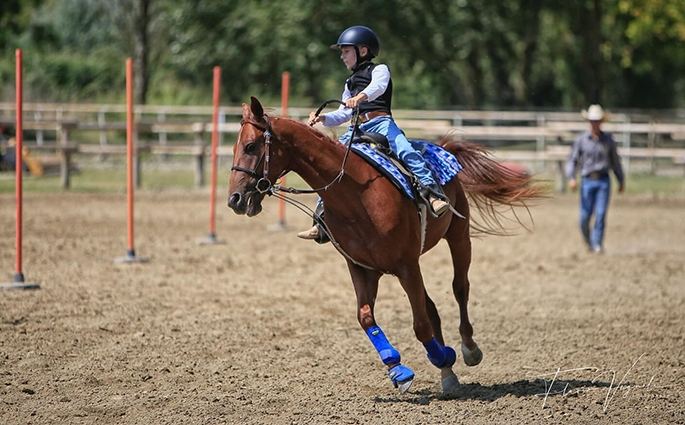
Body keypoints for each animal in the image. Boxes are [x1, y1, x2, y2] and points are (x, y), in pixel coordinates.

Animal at [228, 97, 543, 395]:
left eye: (252, 146)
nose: (234, 199)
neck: (356, 196)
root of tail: (442, 147)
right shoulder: (362, 268)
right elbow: (367, 317)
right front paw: (399, 369)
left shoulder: (406, 265)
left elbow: (420, 325)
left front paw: (442, 356)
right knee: (431, 308)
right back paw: (448, 375)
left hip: (458, 236)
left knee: (460, 288)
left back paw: (468, 349)